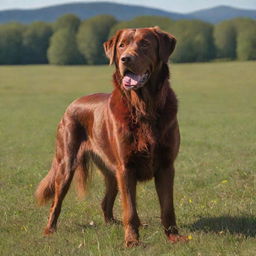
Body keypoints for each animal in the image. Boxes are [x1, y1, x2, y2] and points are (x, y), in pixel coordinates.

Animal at [35, 26, 188, 246]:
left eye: (145, 44)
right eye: (122, 45)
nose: (126, 59)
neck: (144, 108)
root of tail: (71, 104)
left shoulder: (166, 166)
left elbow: (167, 207)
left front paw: (173, 236)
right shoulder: (126, 167)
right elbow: (130, 210)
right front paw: (132, 241)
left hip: (111, 171)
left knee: (105, 202)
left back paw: (112, 223)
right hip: (66, 164)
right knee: (56, 202)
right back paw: (49, 230)